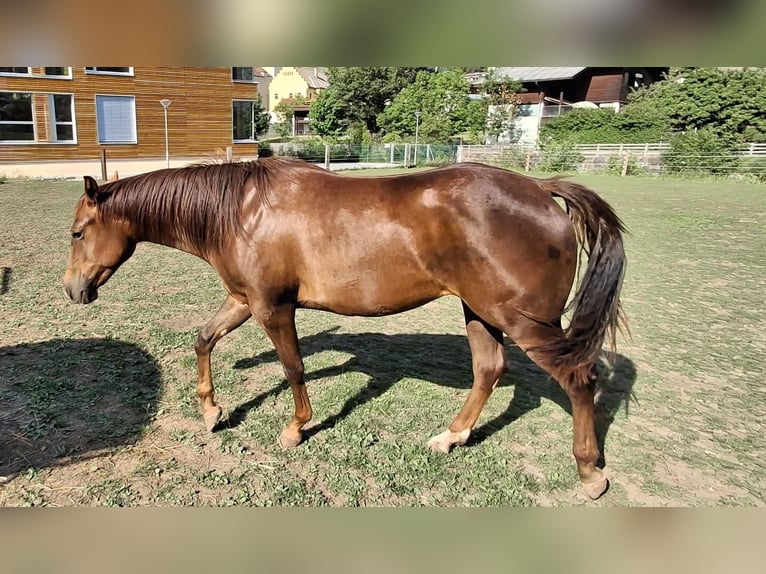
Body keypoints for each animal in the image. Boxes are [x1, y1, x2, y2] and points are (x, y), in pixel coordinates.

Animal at [63, 156, 627, 500]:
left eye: (77, 233)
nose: (72, 290)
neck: (242, 211)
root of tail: (541, 189)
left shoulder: (272, 307)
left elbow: (293, 367)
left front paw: (296, 428)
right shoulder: (243, 300)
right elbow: (204, 340)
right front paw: (211, 410)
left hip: (527, 322)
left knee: (580, 380)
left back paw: (589, 472)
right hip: (482, 312)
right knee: (489, 369)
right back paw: (451, 437)